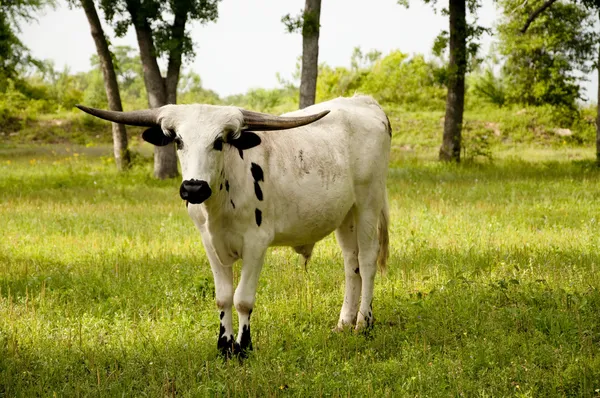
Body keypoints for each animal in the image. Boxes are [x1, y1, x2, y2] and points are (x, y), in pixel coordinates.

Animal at [76, 95, 394, 358]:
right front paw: (224, 345)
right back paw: (344, 322)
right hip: (346, 215)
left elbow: (242, 299)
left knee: (367, 261)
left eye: (219, 141)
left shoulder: (256, 243)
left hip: (368, 203)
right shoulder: (209, 242)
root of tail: (365, 102)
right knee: (351, 264)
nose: (193, 188)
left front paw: (244, 347)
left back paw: (363, 323)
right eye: (178, 140)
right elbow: (223, 297)